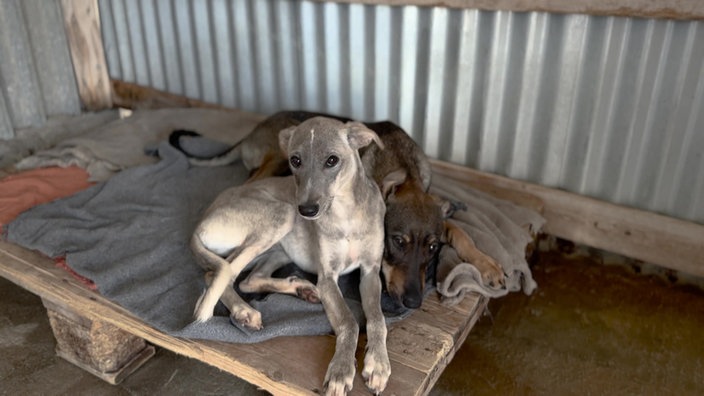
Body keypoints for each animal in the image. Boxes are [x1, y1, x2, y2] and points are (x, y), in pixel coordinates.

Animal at [170, 110, 504, 310]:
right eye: (397, 241)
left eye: (433, 249)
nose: (412, 303)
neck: (402, 166)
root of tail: (254, 130)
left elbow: (460, 231)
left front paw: (488, 266)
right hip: (274, 166)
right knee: (217, 269)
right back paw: (242, 309)